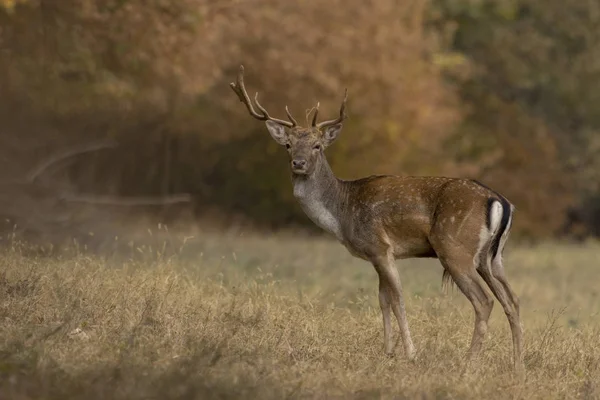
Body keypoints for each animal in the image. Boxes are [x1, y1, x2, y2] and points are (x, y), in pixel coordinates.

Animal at [230, 65, 524, 372]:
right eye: (287, 144)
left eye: (317, 146)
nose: (298, 163)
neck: (342, 214)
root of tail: (502, 202)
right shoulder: (376, 254)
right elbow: (383, 300)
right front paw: (388, 352)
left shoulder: (380, 247)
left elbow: (397, 299)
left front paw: (410, 353)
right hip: (492, 258)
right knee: (512, 300)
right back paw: (518, 365)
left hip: (454, 249)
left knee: (484, 301)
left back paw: (468, 363)